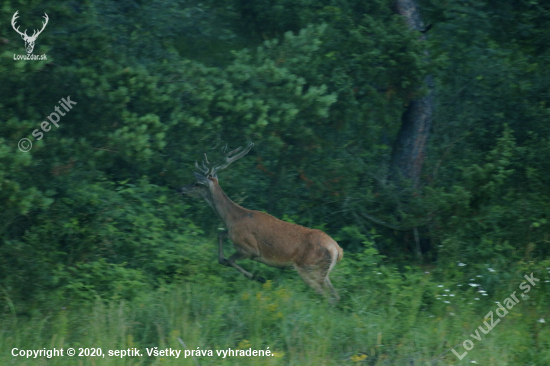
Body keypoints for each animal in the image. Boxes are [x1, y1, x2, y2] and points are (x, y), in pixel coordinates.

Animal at [179, 143, 342, 304]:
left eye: (197, 183)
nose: (179, 188)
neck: (233, 219)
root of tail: (337, 250)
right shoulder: (232, 234)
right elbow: (221, 239)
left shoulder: (250, 248)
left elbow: (230, 260)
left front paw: (258, 278)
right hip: (322, 273)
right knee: (335, 296)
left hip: (309, 268)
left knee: (327, 296)